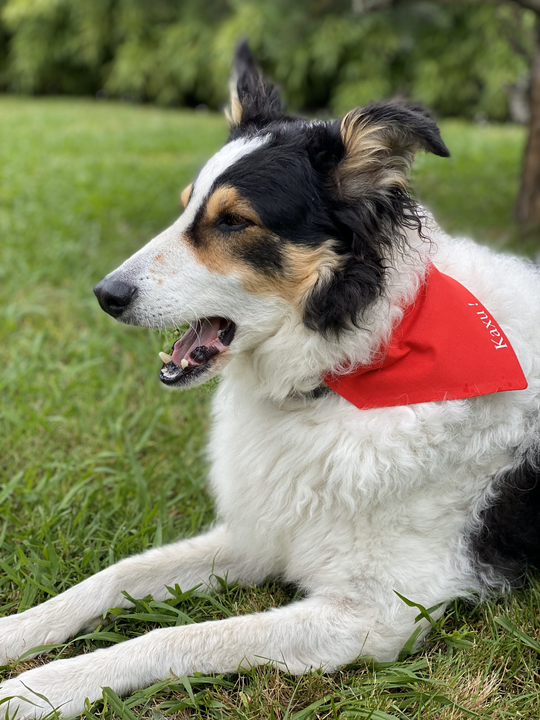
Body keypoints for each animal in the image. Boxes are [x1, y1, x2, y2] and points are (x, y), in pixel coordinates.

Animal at [1, 40, 540, 720]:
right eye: (187, 206)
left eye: (233, 222)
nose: (105, 295)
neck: (348, 369)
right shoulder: (262, 532)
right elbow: (115, 576)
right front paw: (15, 634)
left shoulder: (375, 614)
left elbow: (175, 637)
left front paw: (41, 688)